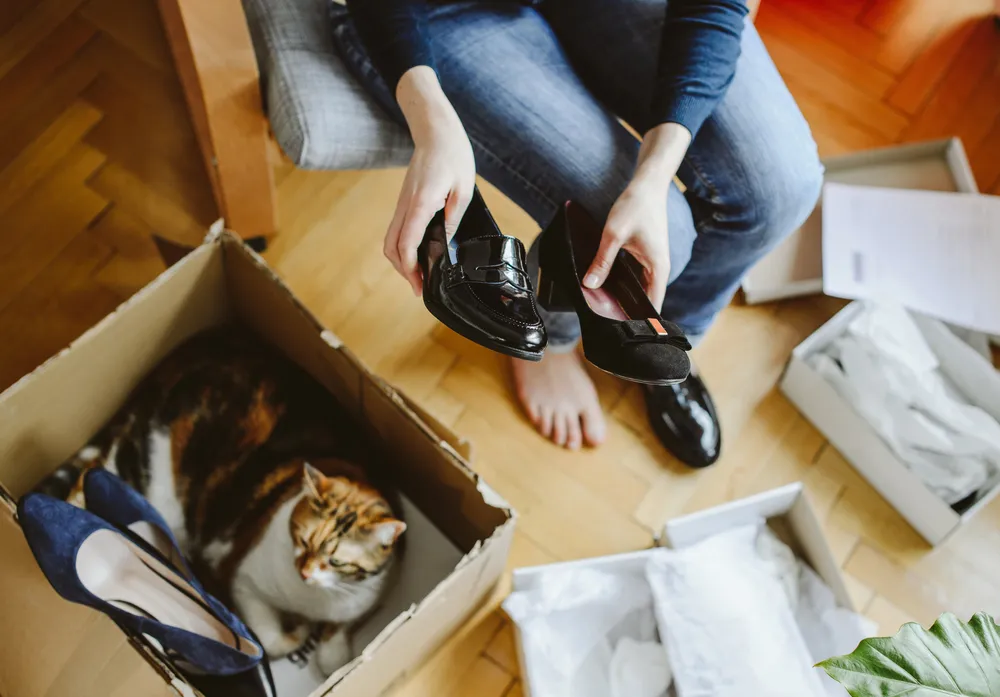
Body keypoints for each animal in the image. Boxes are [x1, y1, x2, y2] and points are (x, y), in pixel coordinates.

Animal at [41, 326, 404, 676]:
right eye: (302, 540)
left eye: (338, 561)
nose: (304, 572)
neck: (311, 600)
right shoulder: (243, 581)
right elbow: (270, 641)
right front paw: (299, 634)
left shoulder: (367, 595)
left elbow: (337, 635)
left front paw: (333, 654)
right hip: (151, 475)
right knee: (93, 471)